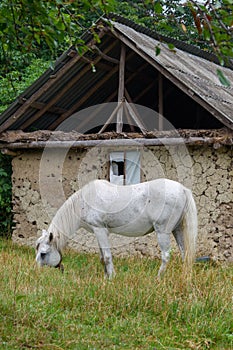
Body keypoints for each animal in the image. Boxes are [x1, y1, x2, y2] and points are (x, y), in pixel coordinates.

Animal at [35, 179, 198, 278]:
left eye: (43, 254)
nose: (36, 272)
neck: (85, 200)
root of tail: (183, 189)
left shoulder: (100, 230)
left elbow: (107, 257)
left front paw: (111, 277)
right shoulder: (98, 232)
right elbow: (102, 257)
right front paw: (106, 277)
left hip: (163, 232)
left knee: (165, 256)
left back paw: (158, 278)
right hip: (177, 230)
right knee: (185, 254)